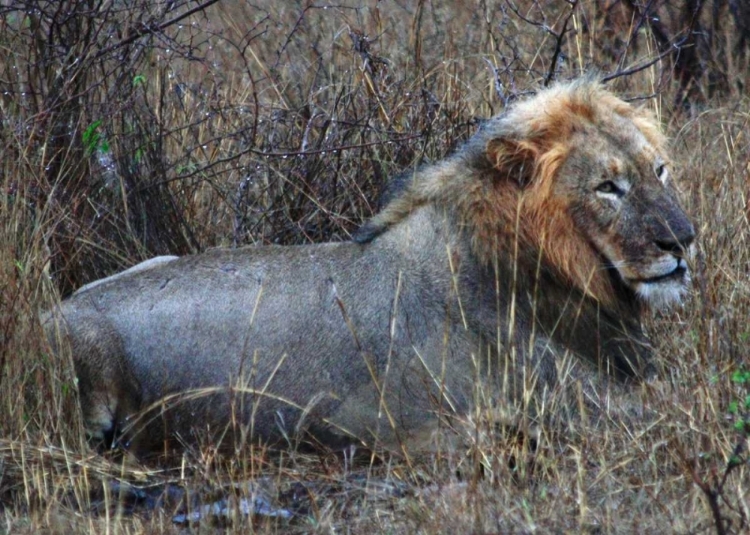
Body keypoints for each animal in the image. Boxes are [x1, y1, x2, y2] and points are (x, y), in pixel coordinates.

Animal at [44, 79, 696, 456]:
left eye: (659, 170)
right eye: (607, 186)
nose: (684, 241)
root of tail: (54, 309)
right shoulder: (568, 404)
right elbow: (674, 406)